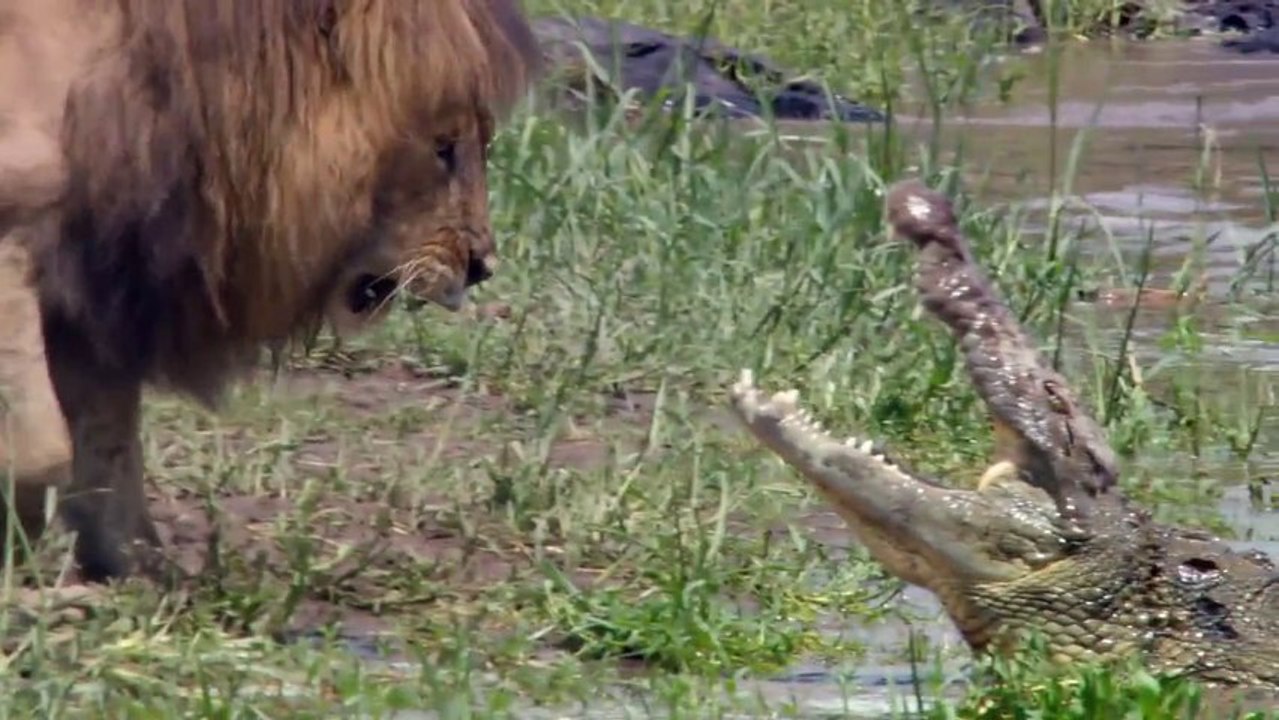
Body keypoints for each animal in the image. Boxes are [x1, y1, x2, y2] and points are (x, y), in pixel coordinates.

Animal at [0, 0, 543, 583]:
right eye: (443, 149)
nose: (482, 266)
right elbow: (45, 451)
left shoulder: (97, 286)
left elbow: (107, 443)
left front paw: (142, 573)